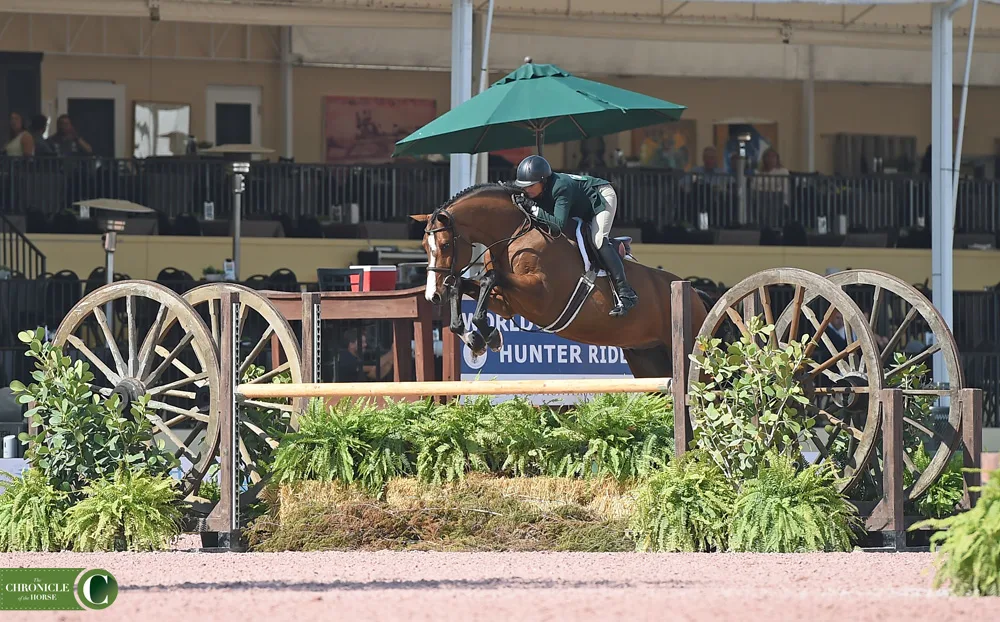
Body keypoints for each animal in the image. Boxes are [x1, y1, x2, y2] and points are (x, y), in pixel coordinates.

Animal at [410, 178, 716, 378]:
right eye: (425, 246)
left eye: (445, 246)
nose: (432, 295)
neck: (514, 233)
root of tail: (693, 292)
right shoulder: (508, 303)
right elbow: (464, 285)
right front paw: (476, 337)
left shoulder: (542, 297)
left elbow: (489, 278)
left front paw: (488, 334)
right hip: (646, 357)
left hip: (690, 352)